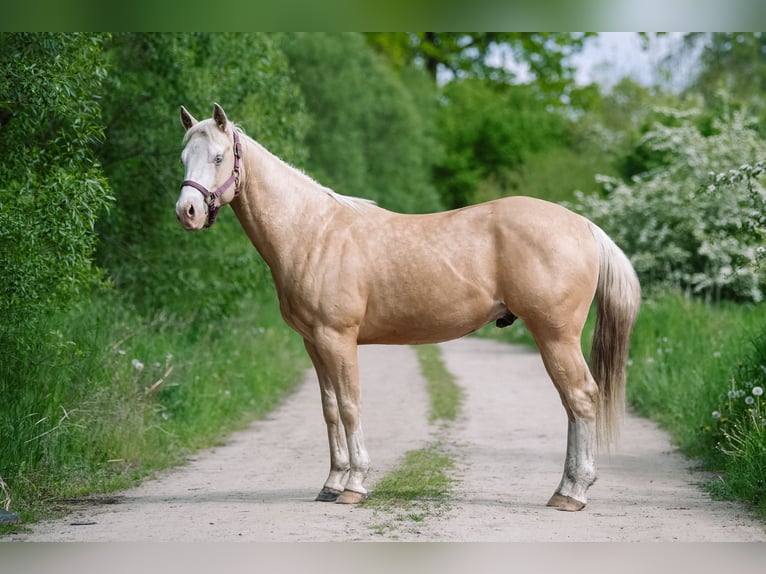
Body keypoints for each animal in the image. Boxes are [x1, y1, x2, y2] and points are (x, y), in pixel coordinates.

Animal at [175, 103, 640, 512]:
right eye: (183, 157)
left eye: (218, 156)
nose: (188, 212)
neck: (313, 232)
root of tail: (583, 225)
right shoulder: (314, 344)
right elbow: (330, 410)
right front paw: (331, 483)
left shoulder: (337, 338)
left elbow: (350, 405)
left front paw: (355, 486)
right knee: (572, 404)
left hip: (555, 337)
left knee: (581, 399)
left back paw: (572, 493)